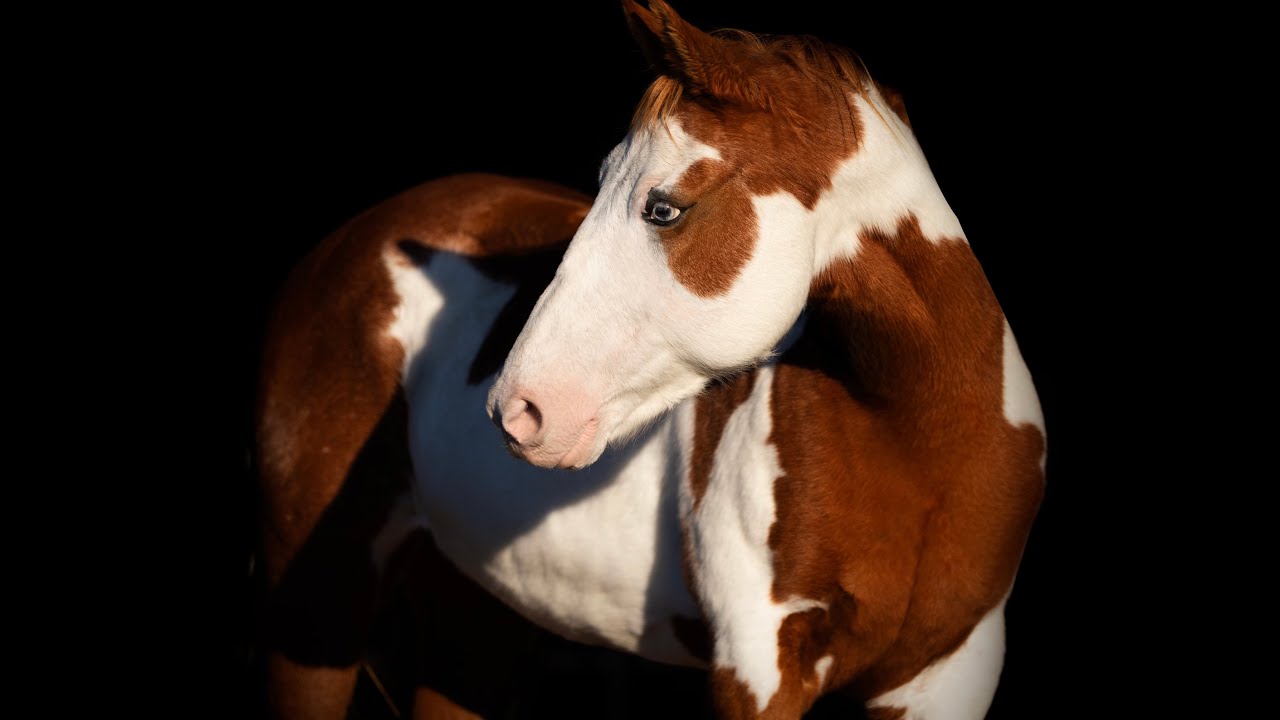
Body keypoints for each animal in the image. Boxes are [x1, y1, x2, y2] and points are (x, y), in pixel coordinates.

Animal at [255, 2, 1045, 718]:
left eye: (663, 208)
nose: (517, 409)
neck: (916, 445)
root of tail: (347, 245)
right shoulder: (758, 668)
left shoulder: (946, 675)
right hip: (318, 610)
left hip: (471, 615)